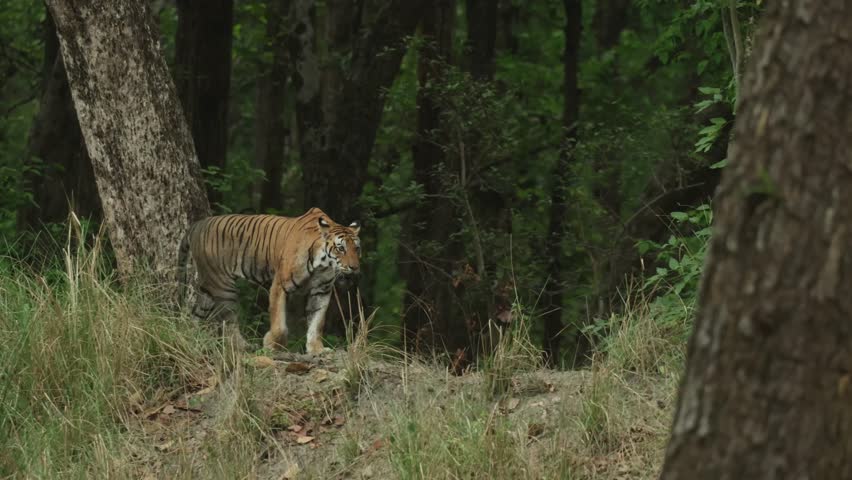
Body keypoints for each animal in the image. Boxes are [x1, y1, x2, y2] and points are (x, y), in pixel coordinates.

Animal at [177, 207, 361, 354]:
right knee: (229, 321)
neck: (322, 264)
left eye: (357, 248)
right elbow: (279, 322)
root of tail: (197, 225)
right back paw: (244, 346)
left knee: (195, 315)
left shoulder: (321, 291)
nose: (355, 267)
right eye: (341, 248)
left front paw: (317, 349)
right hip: (223, 286)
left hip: (208, 290)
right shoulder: (280, 284)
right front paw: (272, 345)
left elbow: (317, 322)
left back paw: (189, 340)